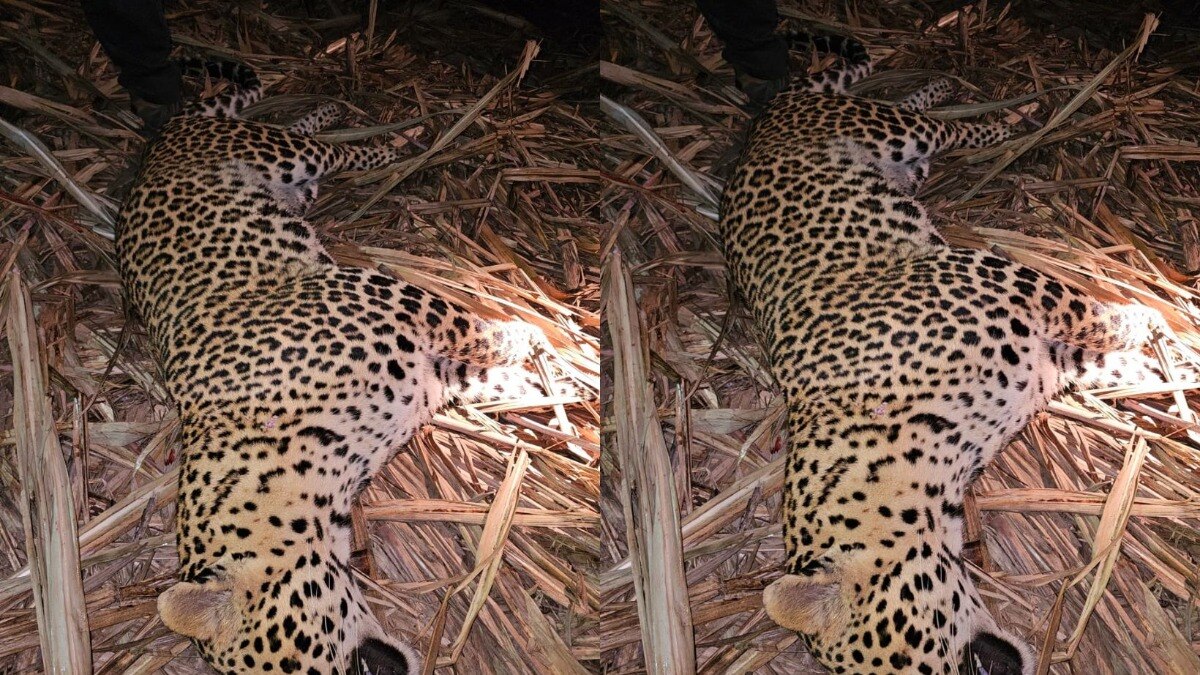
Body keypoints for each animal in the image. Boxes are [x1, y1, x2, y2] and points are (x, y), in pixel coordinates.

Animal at [117, 60, 578, 674]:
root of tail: (154, 149)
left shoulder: (394, 298)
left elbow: (480, 333)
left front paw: (539, 343)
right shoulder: (429, 375)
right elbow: (486, 376)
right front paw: (552, 386)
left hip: (274, 152)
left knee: (327, 148)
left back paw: (389, 140)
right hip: (289, 175)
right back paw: (338, 115)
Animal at [717, 32, 1164, 675]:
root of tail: (763, 122)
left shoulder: (1002, 279)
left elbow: (1097, 316)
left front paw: (1153, 321)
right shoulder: (1045, 357)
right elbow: (1104, 361)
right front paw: (1159, 364)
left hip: (886, 129)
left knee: (944, 126)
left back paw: (1012, 113)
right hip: (904, 156)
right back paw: (948, 89)